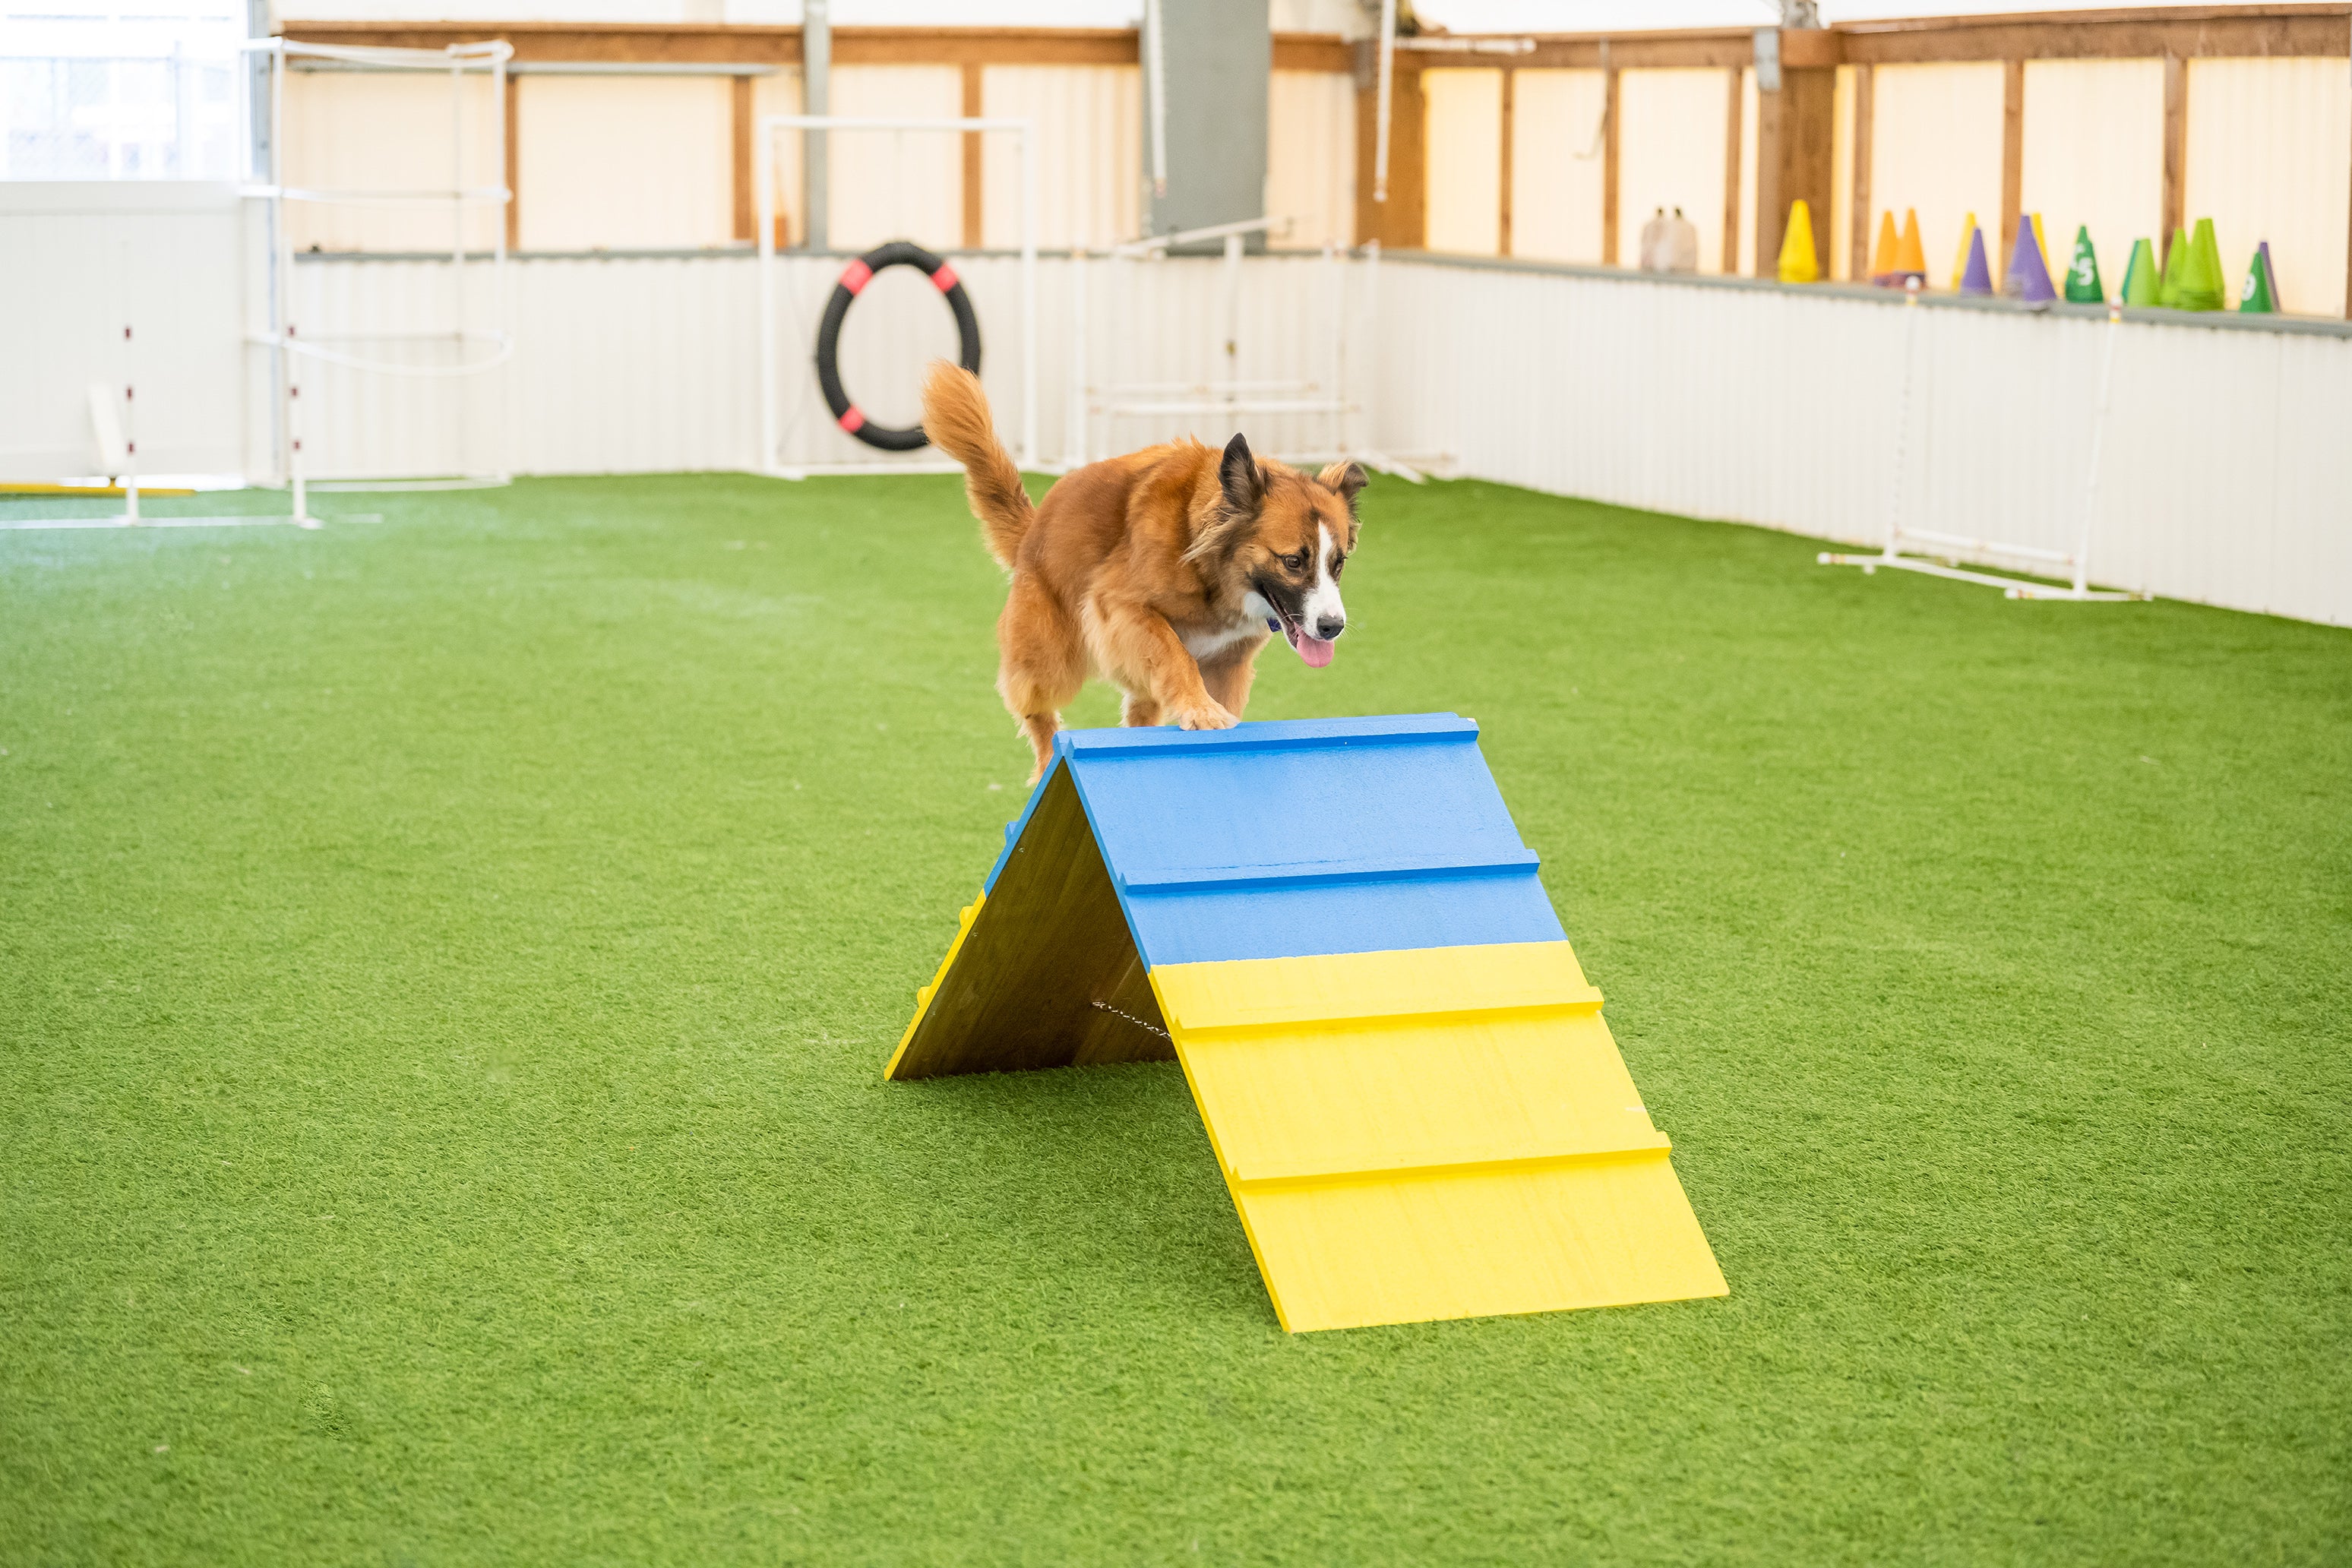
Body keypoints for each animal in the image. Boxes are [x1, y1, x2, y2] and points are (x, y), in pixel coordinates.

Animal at [917, 359, 1364, 780]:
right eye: (1293, 561)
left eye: (1338, 563)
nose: (1332, 627)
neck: (1204, 560)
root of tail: (1033, 530)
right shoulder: (1119, 608)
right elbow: (1175, 655)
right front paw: (1200, 710)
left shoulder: (1229, 663)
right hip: (1049, 654)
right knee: (1037, 707)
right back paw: (1047, 758)